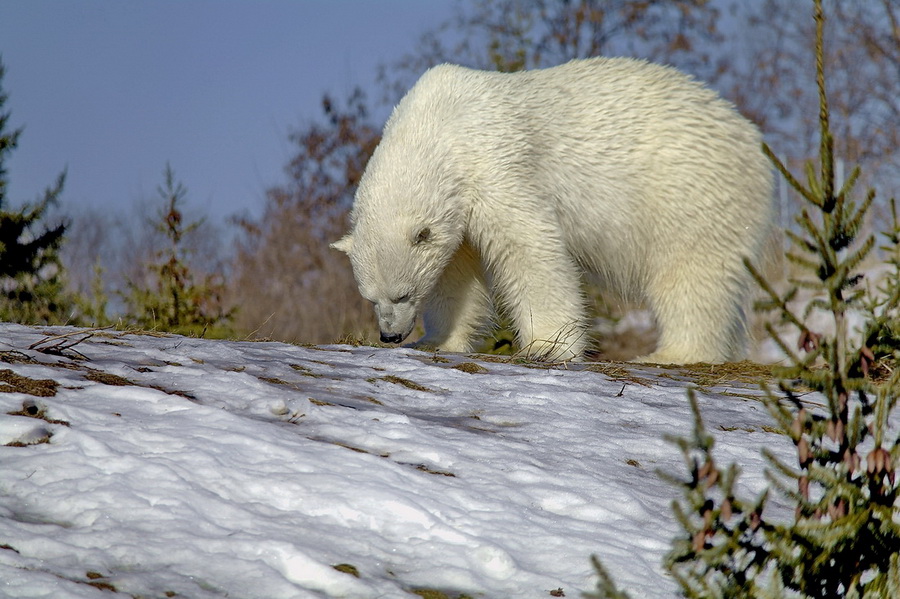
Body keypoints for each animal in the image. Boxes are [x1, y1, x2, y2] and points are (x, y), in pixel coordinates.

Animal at [330, 57, 772, 366]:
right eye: (370, 298)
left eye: (402, 294)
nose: (390, 336)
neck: (435, 127)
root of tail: (750, 136)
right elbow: (456, 272)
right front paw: (436, 340)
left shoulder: (496, 165)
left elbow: (530, 249)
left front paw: (547, 346)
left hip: (691, 192)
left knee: (691, 275)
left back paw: (671, 354)